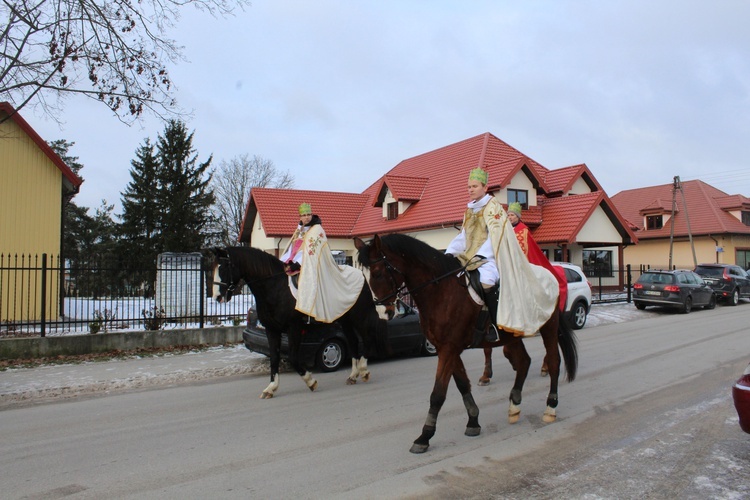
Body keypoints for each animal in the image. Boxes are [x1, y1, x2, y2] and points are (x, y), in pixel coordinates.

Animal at [204, 246, 384, 398]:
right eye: (212, 267)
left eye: (224, 267)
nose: (217, 297)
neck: (275, 287)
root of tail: (361, 275)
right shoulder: (272, 330)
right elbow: (274, 357)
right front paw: (271, 388)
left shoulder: (294, 328)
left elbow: (293, 357)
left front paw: (311, 381)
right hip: (344, 319)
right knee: (353, 342)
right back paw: (353, 375)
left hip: (359, 316)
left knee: (366, 338)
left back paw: (363, 370)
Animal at [354, 233, 580, 454]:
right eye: (364, 275)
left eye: (377, 273)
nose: (383, 313)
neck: (442, 291)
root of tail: (549, 274)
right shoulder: (445, 348)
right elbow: (462, 384)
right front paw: (473, 420)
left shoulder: (449, 349)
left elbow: (438, 394)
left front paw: (425, 436)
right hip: (512, 335)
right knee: (523, 362)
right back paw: (514, 406)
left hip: (549, 327)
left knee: (553, 362)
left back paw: (550, 407)